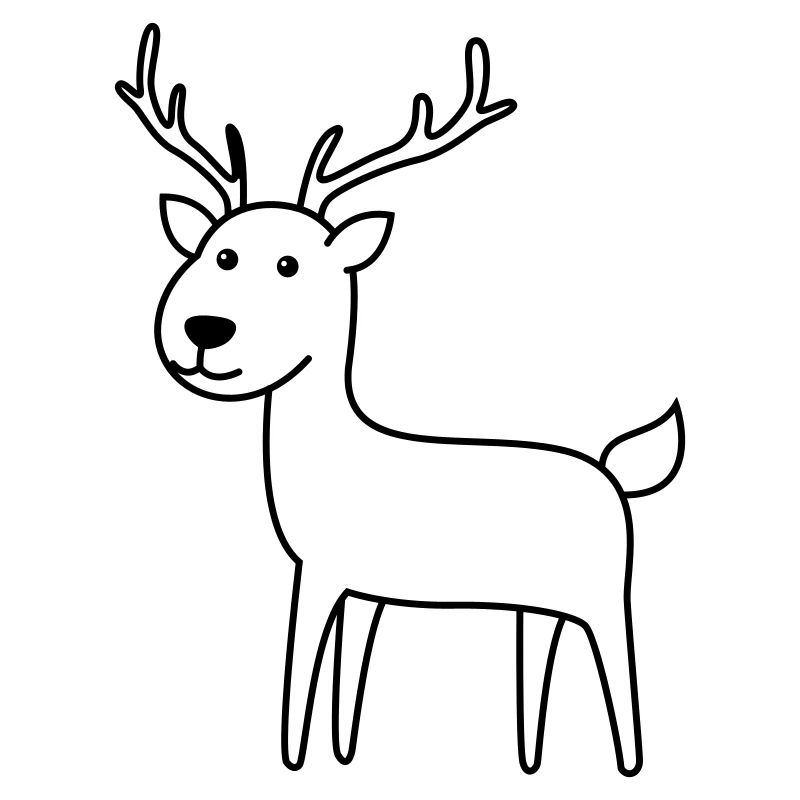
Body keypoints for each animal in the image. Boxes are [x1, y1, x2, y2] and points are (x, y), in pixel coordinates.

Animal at [116, 23, 685, 777]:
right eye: (219, 252)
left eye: (291, 265)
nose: (205, 331)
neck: (335, 458)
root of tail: (619, 477)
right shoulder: (366, 588)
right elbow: (347, 679)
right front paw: (342, 757)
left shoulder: (320, 571)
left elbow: (300, 675)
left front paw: (291, 761)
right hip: (540, 607)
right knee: (537, 667)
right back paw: (529, 762)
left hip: (603, 598)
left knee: (622, 675)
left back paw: (628, 766)